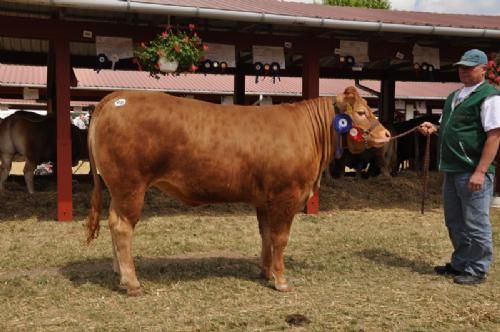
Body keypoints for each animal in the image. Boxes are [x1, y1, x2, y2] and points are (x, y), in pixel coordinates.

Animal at [86, 89, 390, 294]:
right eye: (361, 112)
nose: (386, 134)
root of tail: (117, 97)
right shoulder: (286, 195)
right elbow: (280, 238)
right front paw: (281, 280)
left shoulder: (265, 199)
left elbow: (266, 235)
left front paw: (266, 272)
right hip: (130, 187)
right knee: (123, 227)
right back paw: (132, 282)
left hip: (119, 190)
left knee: (113, 222)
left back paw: (119, 272)